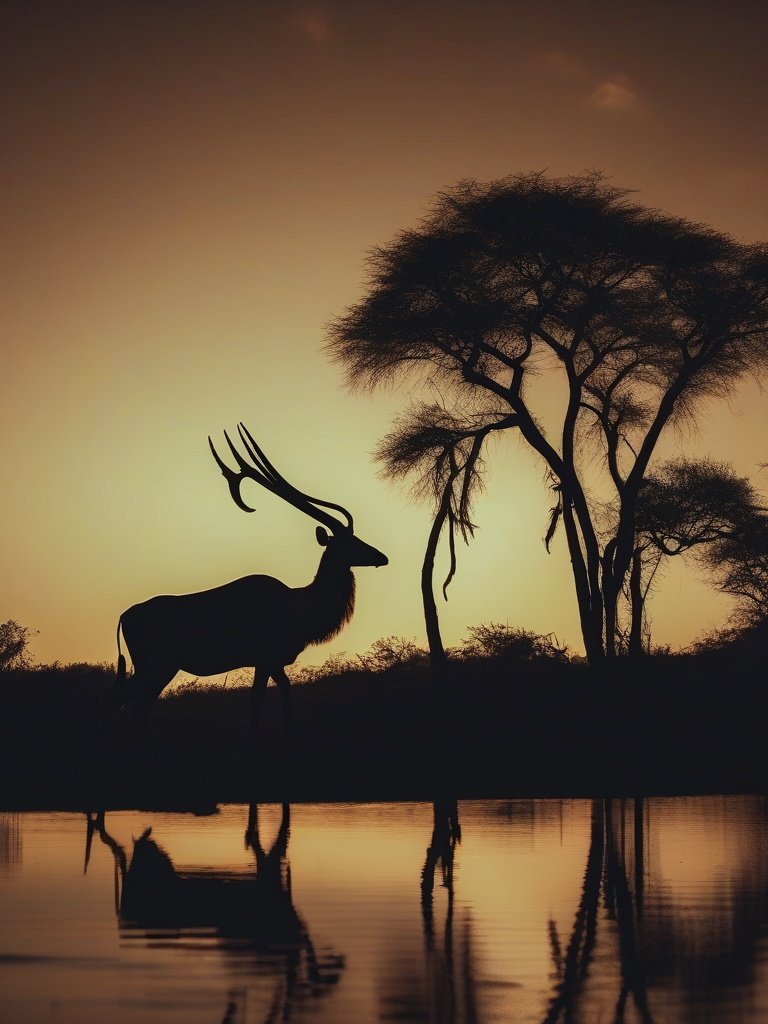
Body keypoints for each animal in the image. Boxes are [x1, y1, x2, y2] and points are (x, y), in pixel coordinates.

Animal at [104, 424, 388, 748]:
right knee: (133, 704)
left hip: (152, 665)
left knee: (122, 699)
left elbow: (284, 696)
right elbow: (257, 702)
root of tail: (124, 616)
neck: (304, 611)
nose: (381, 556)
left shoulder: (272, 662)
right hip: (157, 662)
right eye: (350, 541)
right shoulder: (265, 657)